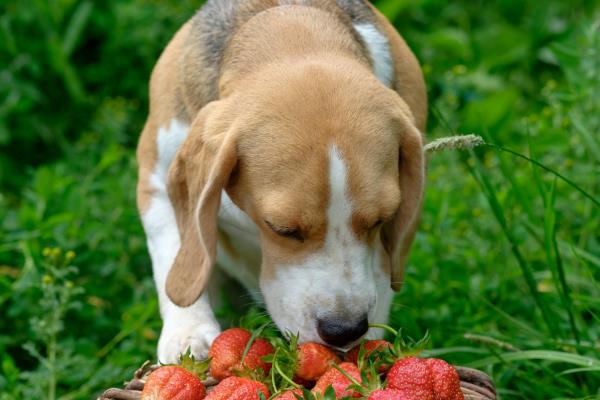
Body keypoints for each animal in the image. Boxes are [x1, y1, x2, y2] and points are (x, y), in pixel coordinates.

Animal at [136, 0, 426, 362]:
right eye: (282, 229)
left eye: (380, 221)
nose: (344, 329)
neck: (289, 24)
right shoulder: (156, 180)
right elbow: (173, 248)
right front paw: (188, 333)